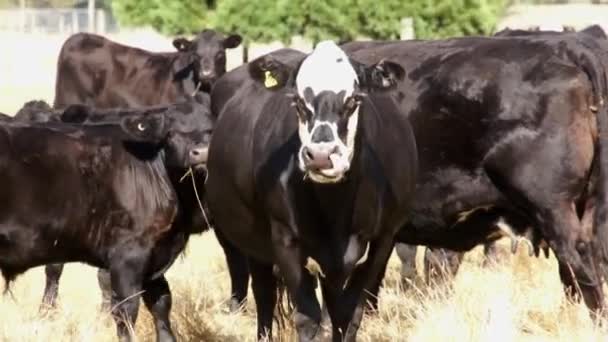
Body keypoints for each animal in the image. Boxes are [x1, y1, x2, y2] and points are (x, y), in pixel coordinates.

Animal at [0, 104, 210, 342]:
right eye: (171, 133)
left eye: (211, 130)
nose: (201, 152)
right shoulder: (127, 256)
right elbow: (125, 311)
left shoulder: (154, 256)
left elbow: (161, 306)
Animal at [208, 43, 418, 342]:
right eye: (297, 102)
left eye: (354, 100)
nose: (320, 156)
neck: (335, 210)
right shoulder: (285, 240)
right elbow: (308, 318)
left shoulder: (381, 241)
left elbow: (348, 315)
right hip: (254, 242)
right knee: (264, 296)